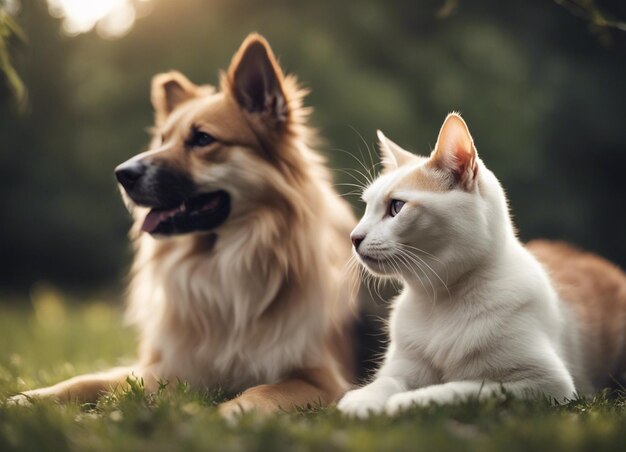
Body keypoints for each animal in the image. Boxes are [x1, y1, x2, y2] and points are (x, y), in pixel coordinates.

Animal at [11, 33, 356, 418]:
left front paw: (223, 415)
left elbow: (260, 391)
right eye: (162, 140)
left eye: (203, 139)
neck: (222, 261)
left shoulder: (321, 381)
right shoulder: (167, 366)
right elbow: (87, 380)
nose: (122, 174)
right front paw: (29, 398)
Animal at [338, 115, 592, 418]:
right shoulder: (403, 367)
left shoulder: (546, 383)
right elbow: (386, 381)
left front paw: (411, 402)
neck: (440, 299)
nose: (354, 237)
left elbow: (468, 388)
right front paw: (362, 400)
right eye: (367, 207)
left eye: (396, 207)